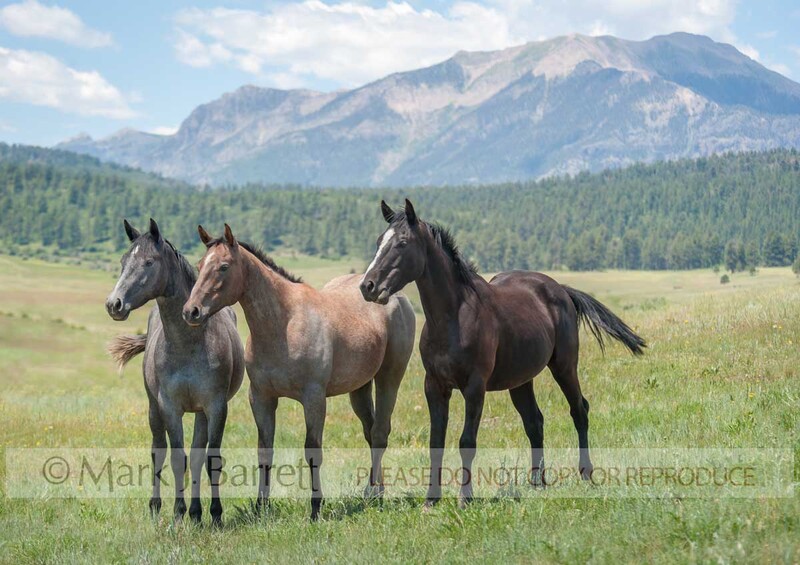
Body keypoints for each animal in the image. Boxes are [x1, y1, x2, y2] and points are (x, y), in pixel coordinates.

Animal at [105, 219, 245, 525]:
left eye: (148, 262)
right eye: (123, 261)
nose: (114, 304)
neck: (188, 345)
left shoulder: (215, 406)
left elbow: (209, 459)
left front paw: (213, 515)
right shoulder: (169, 406)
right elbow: (177, 458)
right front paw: (178, 514)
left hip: (201, 413)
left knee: (197, 455)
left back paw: (197, 512)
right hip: (153, 408)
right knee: (158, 451)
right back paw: (157, 507)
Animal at [181, 224, 416, 520]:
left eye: (223, 267)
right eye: (200, 265)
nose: (191, 311)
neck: (284, 324)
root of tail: (392, 295)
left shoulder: (313, 399)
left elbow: (312, 450)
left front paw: (315, 508)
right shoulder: (261, 398)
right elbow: (264, 451)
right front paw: (261, 506)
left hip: (389, 378)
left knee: (381, 432)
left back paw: (375, 494)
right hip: (359, 389)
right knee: (371, 432)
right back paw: (375, 491)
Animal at [360, 200, 645, 508]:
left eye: (402, 243)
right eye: (379, 241)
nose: (368, 286)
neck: (453, 318)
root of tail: (561, 290)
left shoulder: (474, 387)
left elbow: (467, 442)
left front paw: (465, 499)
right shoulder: (435, 386)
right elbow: (436, 441)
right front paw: (431, 499)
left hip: (564, 367)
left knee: (579, 410)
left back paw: (586, 475)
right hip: (520, 381)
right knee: (534, 422)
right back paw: (537, 483)